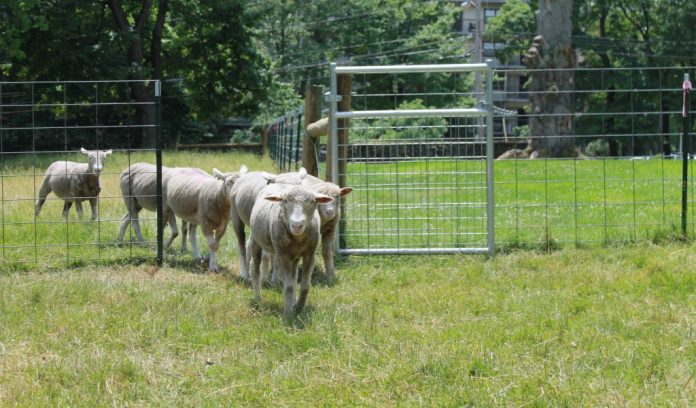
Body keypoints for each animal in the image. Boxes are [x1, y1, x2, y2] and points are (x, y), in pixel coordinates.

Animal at [246, 183, 333, 318]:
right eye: (285, 201)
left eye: (313, 201)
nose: (297, 225)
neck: (298, 239)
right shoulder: (282, 255)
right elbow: (288, 286)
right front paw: (288, 314)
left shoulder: (310, 254)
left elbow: (304, 286)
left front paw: (299, 307)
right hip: (256, 240)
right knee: (254, 268)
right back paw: (258, 299)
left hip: (294, 257)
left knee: (294, 275)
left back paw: (292, 302)